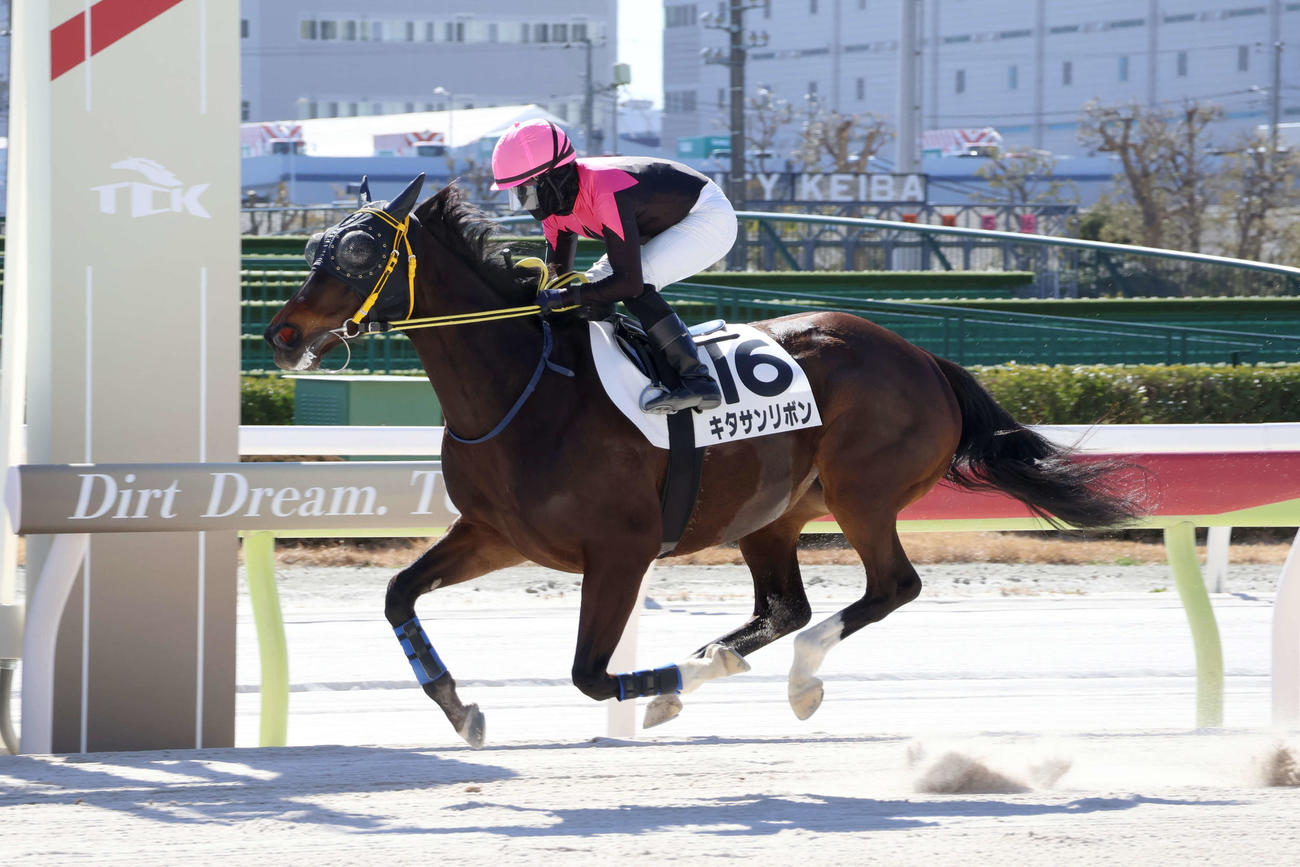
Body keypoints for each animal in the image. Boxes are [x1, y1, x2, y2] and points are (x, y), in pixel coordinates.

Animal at [265, 175, 1139, 747]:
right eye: (312, 247)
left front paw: (668, 692)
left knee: (890, 587)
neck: (522, 390)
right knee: (785, 606)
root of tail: (923, 356)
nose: (280, 333)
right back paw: (736, 656)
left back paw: (797, 677)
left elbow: (590, 673)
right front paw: (460, 706)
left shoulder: (619, 551)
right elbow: (398, 594)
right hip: (771, 512)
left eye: (357, 251)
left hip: (862, 492)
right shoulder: (495, 533)